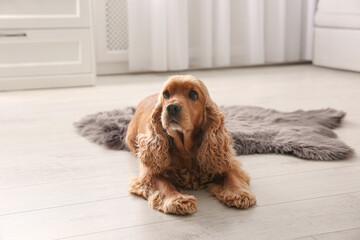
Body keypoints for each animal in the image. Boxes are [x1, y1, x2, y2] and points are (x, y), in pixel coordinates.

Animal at [126, 75, 256, 214]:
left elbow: (231, 174)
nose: (171, 107)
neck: (185, 149)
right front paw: (177, 199)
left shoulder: (224, 160)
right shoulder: (149, 172)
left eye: (193, 94)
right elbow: (163, 184)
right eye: (166, 94)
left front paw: (238, 193)